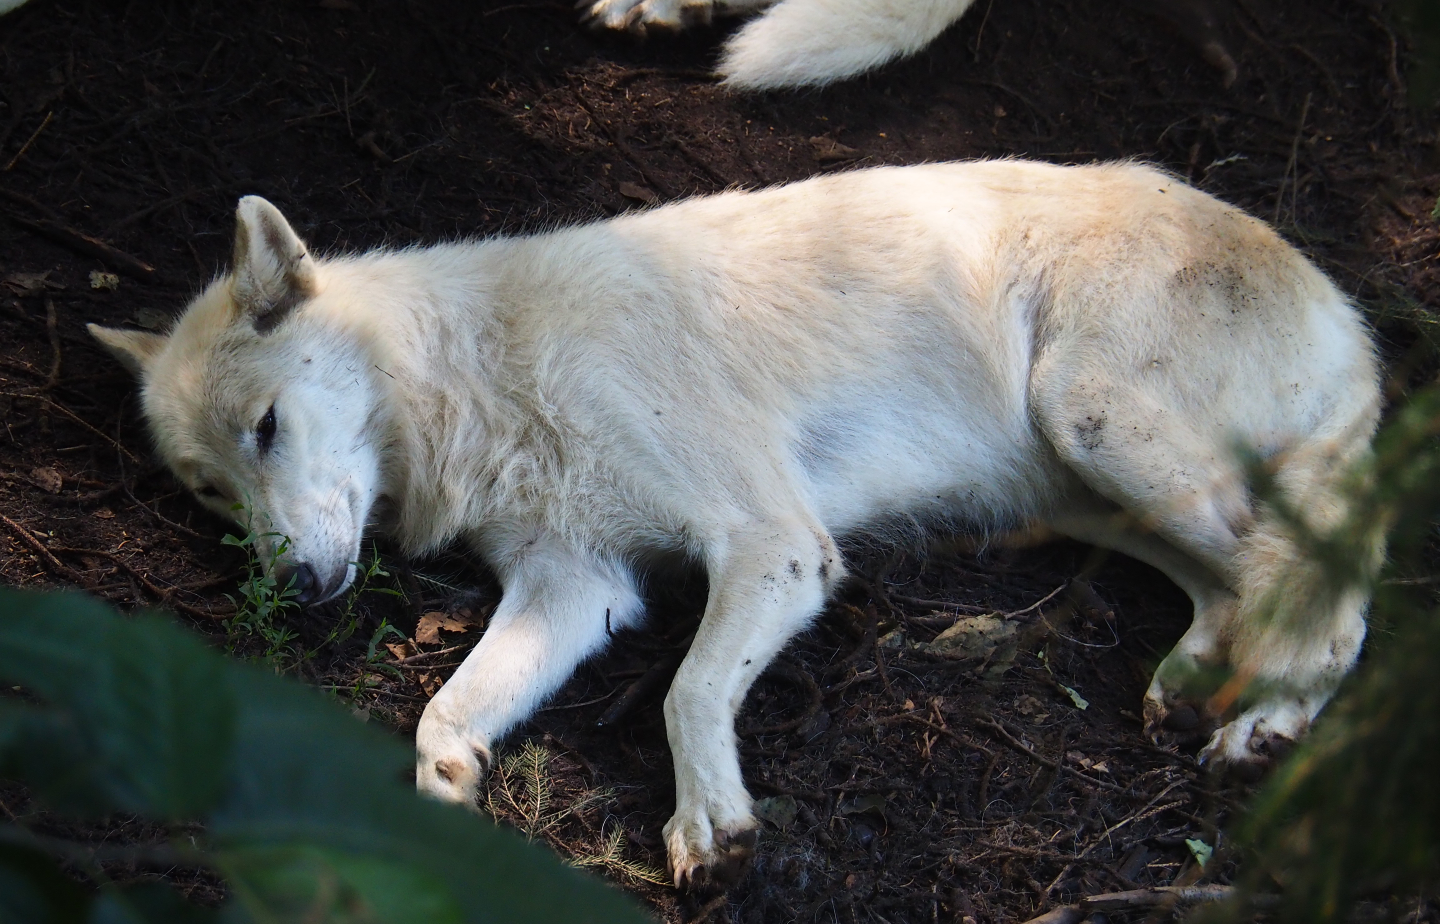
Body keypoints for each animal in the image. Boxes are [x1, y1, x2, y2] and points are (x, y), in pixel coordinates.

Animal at [91, 160, 1379, 887]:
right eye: (209, 491)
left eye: (265, 428)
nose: (295, 593)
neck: (475, 370)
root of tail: (1346, 313)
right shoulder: (578, 586)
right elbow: (441, 713)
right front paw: (446, 798)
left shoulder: (773, 547)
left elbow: (686, 690)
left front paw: (712, 825)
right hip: (1081, 499)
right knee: (1244, 585)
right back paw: (1196, 682)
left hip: (1094, 419)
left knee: (1331, 595)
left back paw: (1265, 723)